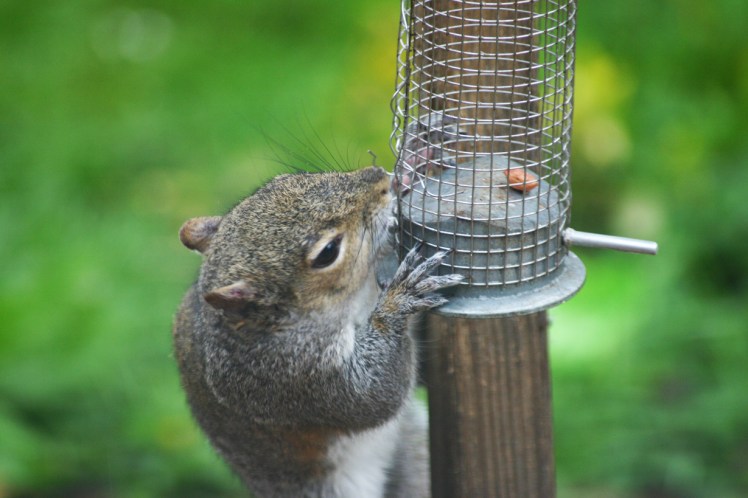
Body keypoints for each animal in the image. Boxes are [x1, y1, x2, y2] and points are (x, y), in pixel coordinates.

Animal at [173, 166, 463, 498]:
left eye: (285, 179)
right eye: (328, 252)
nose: (378, 176)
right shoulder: (293, 374)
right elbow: (374, 395)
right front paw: (398, 300)